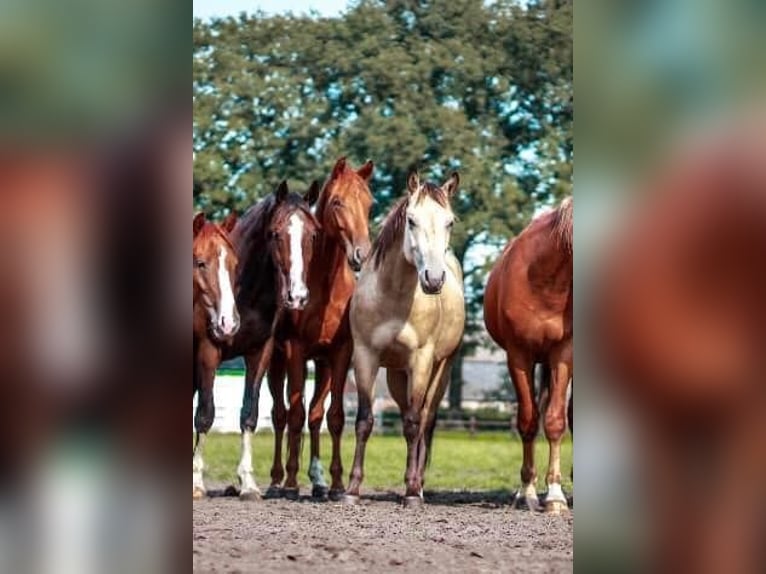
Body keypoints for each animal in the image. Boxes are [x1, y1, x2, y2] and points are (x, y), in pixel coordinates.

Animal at [195, 182, 324, 502]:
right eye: (275, 233)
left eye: (313, 234)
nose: (297, 297)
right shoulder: (208, 352)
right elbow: (205, 414)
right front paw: (197, 482)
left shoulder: (260, 353)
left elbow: (249, 414)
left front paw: (248, 484)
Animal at [264, 156, 376, 500]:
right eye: (338, 202)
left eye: (370, 203)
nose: (361, 254)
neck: (326, 287)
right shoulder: (295, 350)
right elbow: (294, 415)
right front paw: (290, 482)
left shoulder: (340, 354)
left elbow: (333, 417)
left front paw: (338, 485)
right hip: (277, 361)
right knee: (281, 415)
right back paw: (278, 479)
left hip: (322, 366)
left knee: (314, 416)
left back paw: (317, 480)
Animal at [344, 169, 464, 506]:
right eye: (411, 220)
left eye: (450, 221)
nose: (434, 279)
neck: (392, 295)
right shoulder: (365, 357)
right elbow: (364, 421)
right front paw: (352, 489)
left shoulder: (421, 361)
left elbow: (412, 424)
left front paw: (411, 491)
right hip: (398, 375)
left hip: (441, 369)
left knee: (425, 419)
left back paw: (419, 485)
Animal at [486, 196, 568, 516]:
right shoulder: (519, 356)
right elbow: (528, 421)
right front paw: (528, 492)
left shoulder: (563, 354)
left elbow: (555, 421)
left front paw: (556, 496)